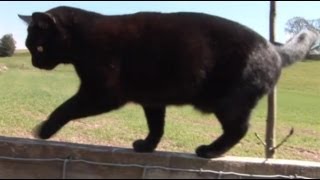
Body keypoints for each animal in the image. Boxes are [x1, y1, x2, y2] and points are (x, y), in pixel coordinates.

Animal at [19, 5, 318, 158]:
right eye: (30, 48)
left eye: (40, 47)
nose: (34, 62)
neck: (83, 38)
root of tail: (274, 48)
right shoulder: (152, 99)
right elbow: (157, 126)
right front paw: (147, 146)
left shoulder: (103, 93)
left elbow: (66, 107)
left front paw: (44, 130)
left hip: (229, 103)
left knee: (239, 129)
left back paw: (209, 151)